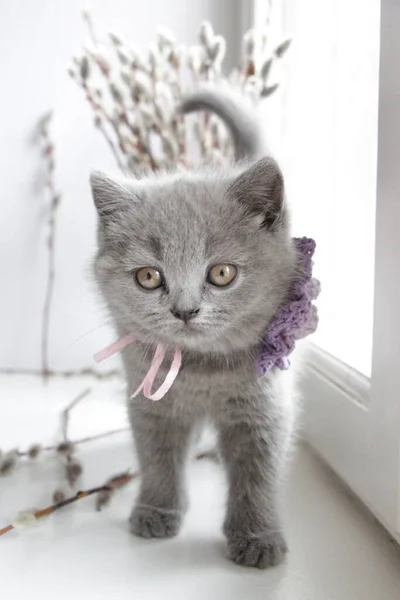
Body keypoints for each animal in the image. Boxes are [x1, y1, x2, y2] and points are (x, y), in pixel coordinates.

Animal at [90, 88, 296, 568]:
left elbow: (258, 475)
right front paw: (156, 510)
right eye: (149, 276)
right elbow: (158, 459)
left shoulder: (263, 409)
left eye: (222, 273)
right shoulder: (153, 405)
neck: (203, 371)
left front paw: (257, 537)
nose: (185, 310)